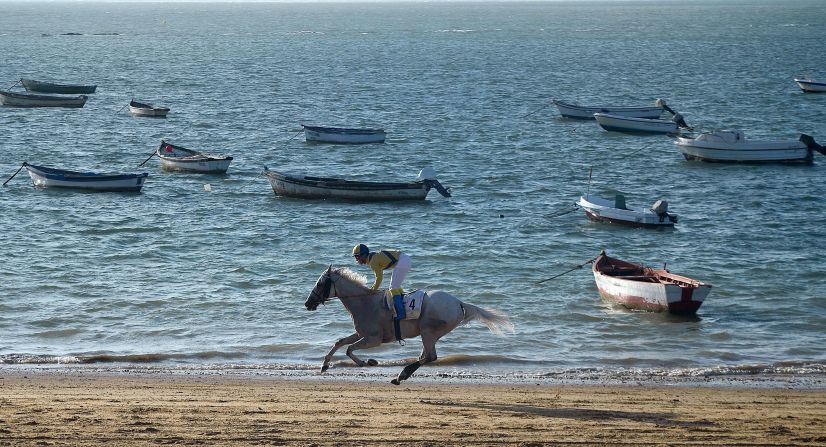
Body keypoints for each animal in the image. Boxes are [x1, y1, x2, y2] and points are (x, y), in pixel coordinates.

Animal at [304, 266, 508, 384]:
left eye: (320, 284)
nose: (308, 303)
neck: (364, 302)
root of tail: (458, 302)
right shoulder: (361, 333)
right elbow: (339, 342)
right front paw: (324, 365)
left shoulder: (374, 339)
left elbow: (349, 349)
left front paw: (367, 361)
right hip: (430, 334)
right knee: (426, 356)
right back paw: (402, 375)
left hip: (428, 332)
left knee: (430, 356)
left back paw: (402, 374)